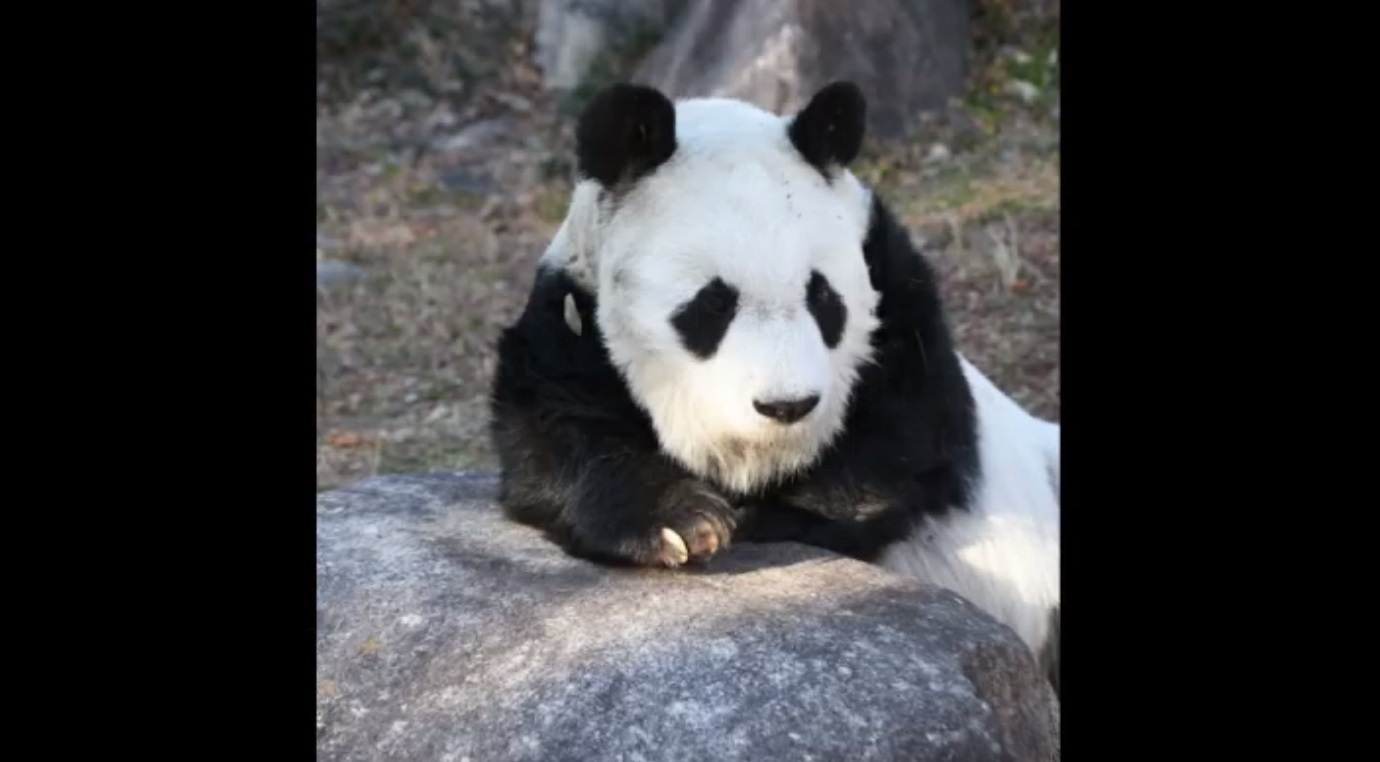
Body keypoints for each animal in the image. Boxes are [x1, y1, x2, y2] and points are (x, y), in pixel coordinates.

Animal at [488, 81, 1061, 698]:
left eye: (823, 298)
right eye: (713, 305)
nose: (787, 406)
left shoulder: (897, 295)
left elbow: (909, 439)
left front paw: (767, 516)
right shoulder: (570, 323)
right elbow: (555, 436)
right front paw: (684, 522)